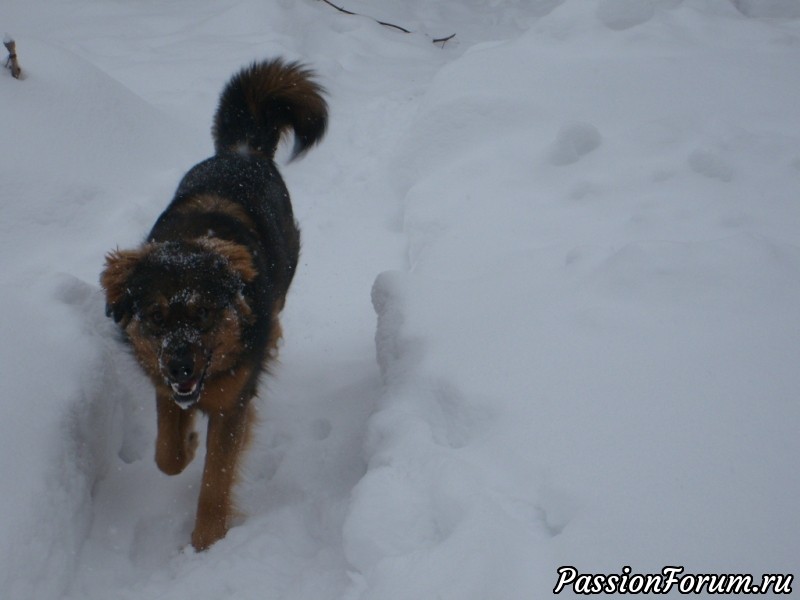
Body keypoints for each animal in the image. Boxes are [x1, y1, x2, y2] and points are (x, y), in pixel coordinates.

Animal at [101, 58, 326, 552]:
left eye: (204, 313)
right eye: (155, 317)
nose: (181, 366)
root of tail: (242, 151)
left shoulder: (232, 403)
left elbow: (216, 476)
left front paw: (207, 542)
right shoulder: (162, 376)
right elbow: (166, 453)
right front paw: (185, 443)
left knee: (276, 316)